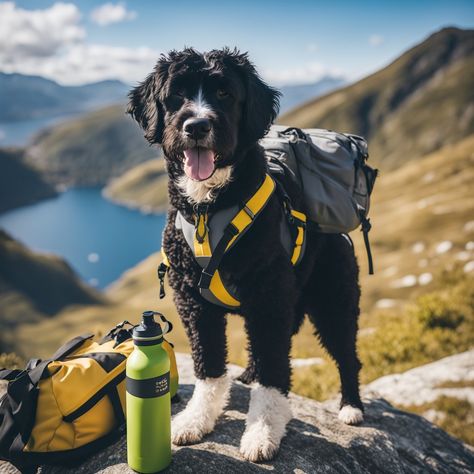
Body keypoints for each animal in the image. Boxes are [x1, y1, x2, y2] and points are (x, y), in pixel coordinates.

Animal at [127, 47, 362, 460]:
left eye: (224, 93)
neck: (209, 208)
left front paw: (263, 430)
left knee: (346, 353)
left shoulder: (269, 296)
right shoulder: (193, 301)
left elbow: (273, 372)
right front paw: (196, 419)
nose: (196, 126)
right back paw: (248, 374)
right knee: (259, 349)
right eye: (177, 95)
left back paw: (351, 406)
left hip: (333, 299)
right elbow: (208, 364)